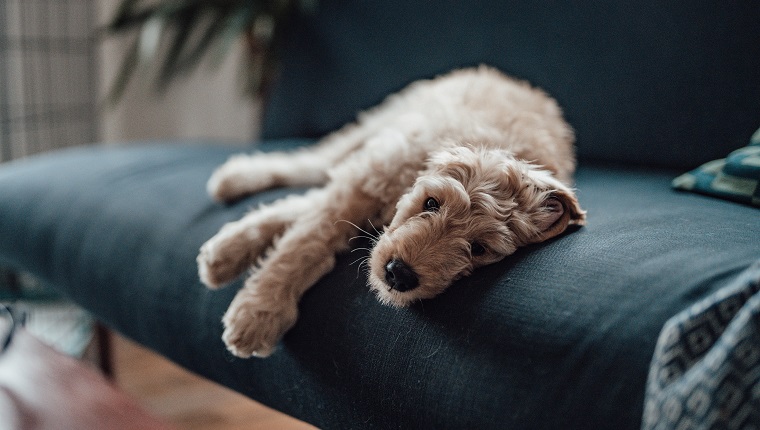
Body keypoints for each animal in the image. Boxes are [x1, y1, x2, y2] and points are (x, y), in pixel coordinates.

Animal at [197, 65, 588, 358]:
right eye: (431, 203)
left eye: (479, 249)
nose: (399, 275)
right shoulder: (370, 176)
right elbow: (306, 240)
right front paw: (259, 312)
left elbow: (306, 214)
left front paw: (230, 255)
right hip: (381, 122)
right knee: (315, 162)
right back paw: (236, 178)